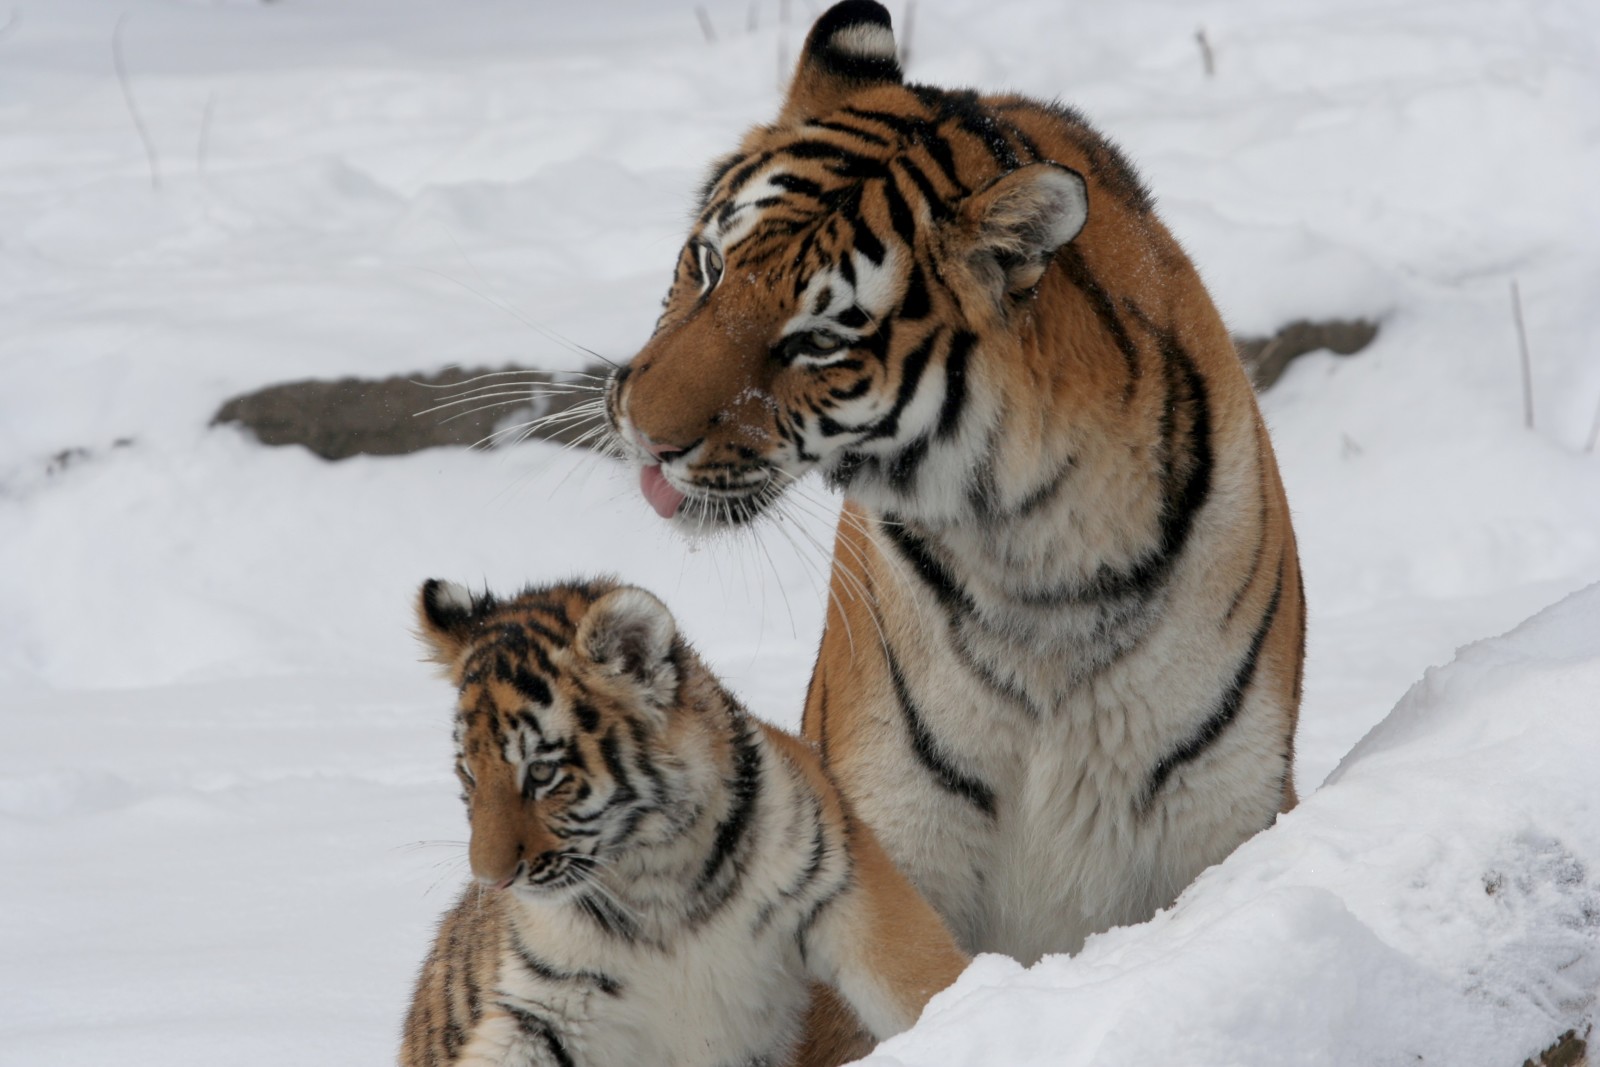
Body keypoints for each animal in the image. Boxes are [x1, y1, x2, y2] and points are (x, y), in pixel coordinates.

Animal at [604, 0, 1305, 1049]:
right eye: (710, 263)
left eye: (817, 341)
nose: (644, 436)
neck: (1037, 547)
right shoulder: (884, 846)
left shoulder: (1227, 815)